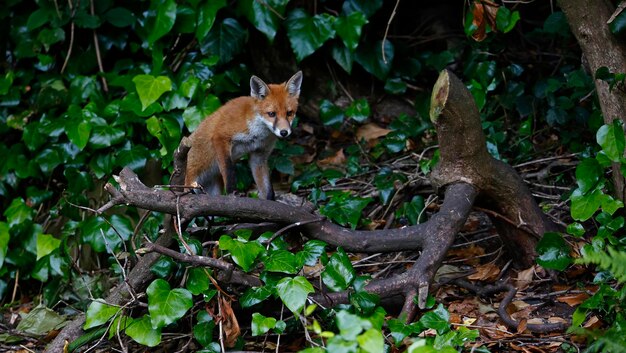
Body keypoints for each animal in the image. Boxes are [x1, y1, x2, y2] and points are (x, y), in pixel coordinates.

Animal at [183, 70, 302, 199]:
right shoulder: (220, 137)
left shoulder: (258, 155)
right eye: (271, 114)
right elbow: (229, 170)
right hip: (192, 182)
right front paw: (232, 192)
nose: (284, 132)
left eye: (289, 113)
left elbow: (267, 189)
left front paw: (270, 200)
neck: (256, 133)